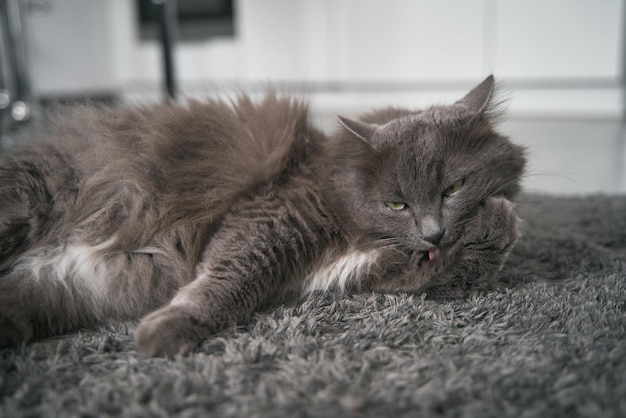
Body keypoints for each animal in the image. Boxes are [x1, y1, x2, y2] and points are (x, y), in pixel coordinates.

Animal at [0, 76, 524, 356]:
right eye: (397, 204)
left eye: (453, 188)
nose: (433, 233)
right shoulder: (267, 218)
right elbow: (231, 279)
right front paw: (167, 331)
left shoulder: (358, 273)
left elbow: (449, 270)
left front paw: (495, 221)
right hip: (28, 199)